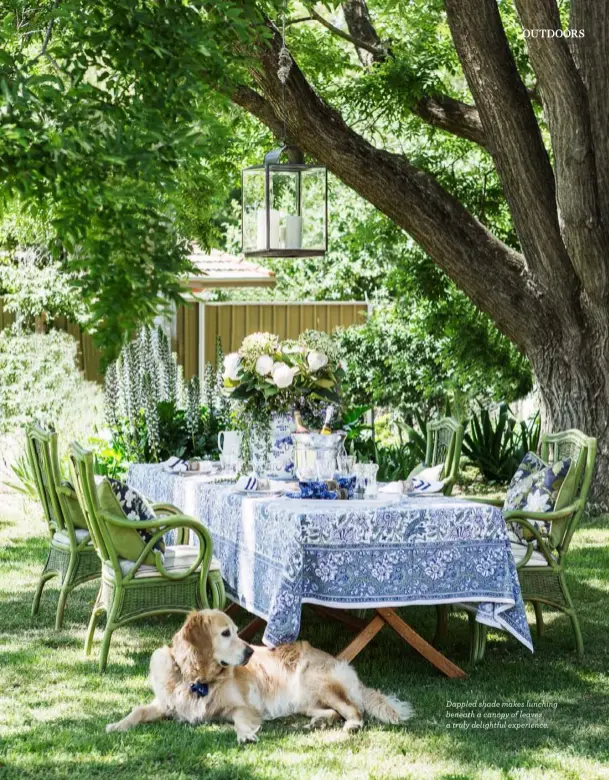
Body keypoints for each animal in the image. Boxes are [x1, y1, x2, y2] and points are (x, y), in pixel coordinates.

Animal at [108, 608, 414, 740]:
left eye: (236, 630)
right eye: (226, 633)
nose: (249, 653)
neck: (197, 678)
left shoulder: (243, 706)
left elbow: (240, 719)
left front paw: (245, 735)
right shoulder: (166, 703)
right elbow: (137, 710)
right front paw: (116, 725)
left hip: (317, 681)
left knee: (353, 710)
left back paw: (350, 726)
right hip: (305, 700)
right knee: (332, 712)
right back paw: (318, 722)